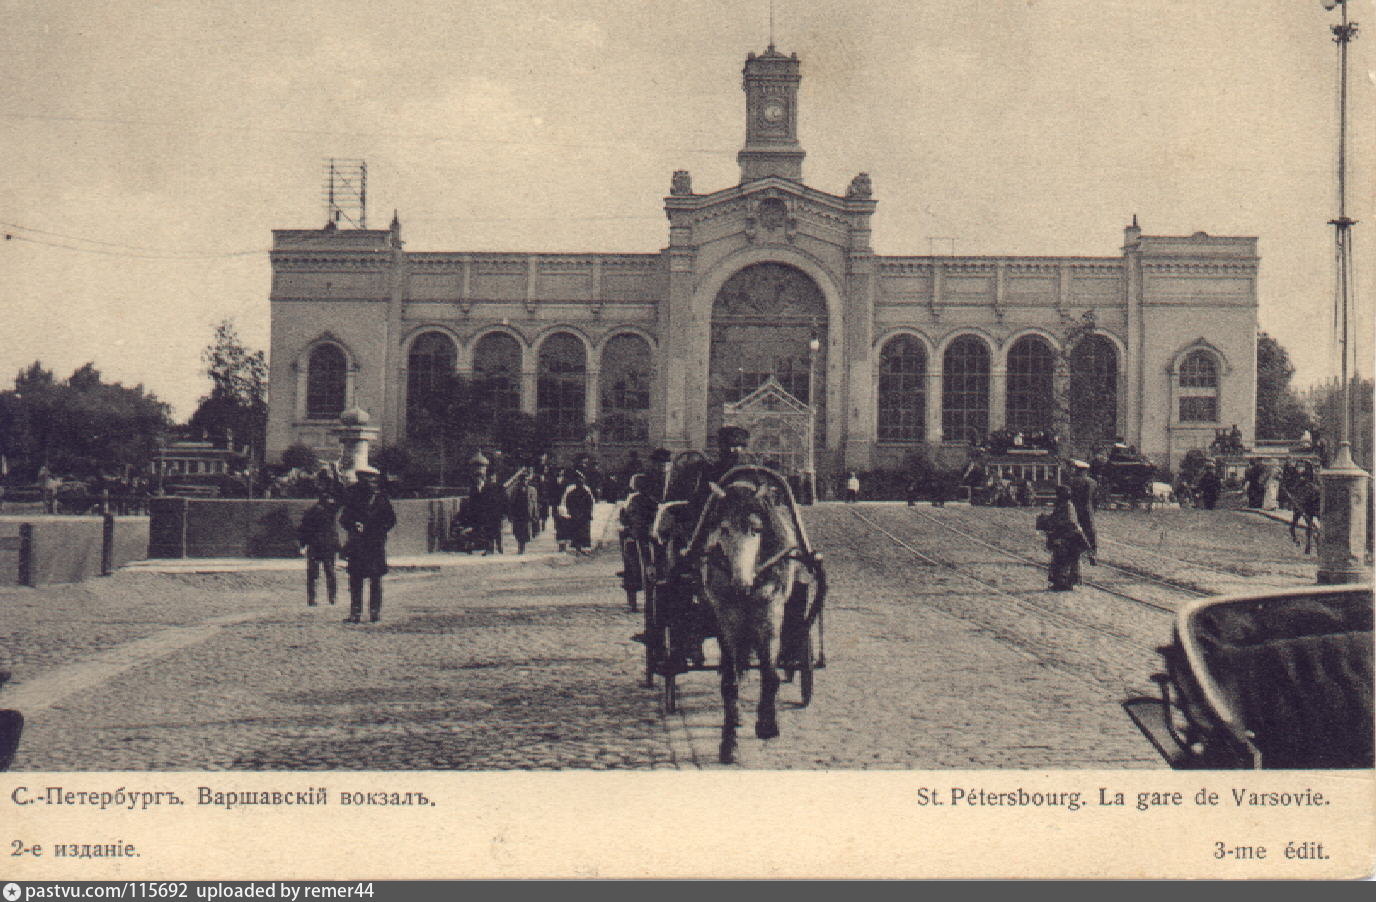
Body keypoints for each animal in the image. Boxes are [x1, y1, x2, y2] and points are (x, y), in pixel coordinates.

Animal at [704, 475, 803, 764]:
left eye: (756, 529)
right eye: (723, 529)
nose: (741, 584)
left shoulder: (770, 619)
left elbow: (770, 675)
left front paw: (767, 724)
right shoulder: (726, 621)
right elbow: (730, 682)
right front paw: (729, 742)